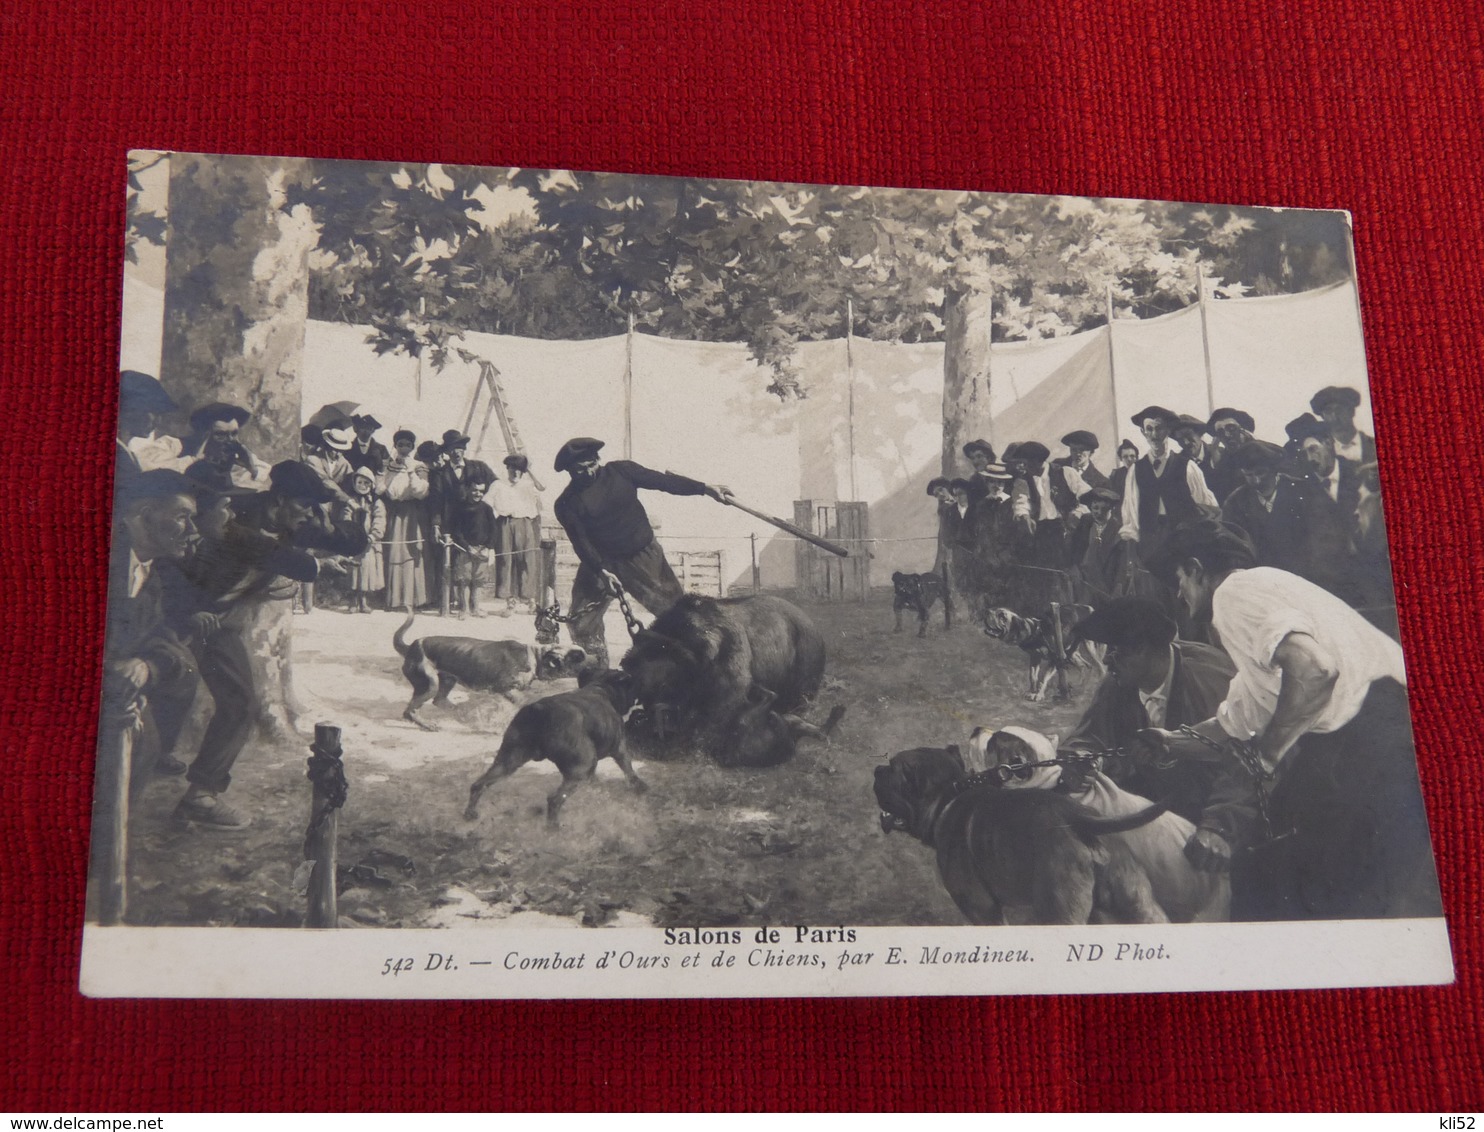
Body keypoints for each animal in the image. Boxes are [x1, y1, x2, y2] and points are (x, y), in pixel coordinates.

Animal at [394, 614, 584, 729]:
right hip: (429, 684)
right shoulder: (505, 688)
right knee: (409, 711)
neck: (534, 655)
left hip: (448, 679)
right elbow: (524, 701)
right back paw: (428, 725)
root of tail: (411, 647)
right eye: (575, 657)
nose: (588, 655)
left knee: (439, 701)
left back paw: (461, 712)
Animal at [463, 667, 649, 830]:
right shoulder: (620, 749)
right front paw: (639, 786)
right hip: (579, 769)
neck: (601, 687)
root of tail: (539, 711)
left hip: (507, 761)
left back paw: (470, 814)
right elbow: (628, 769)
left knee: (479, 784)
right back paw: (553, 828)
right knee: (554, 799)